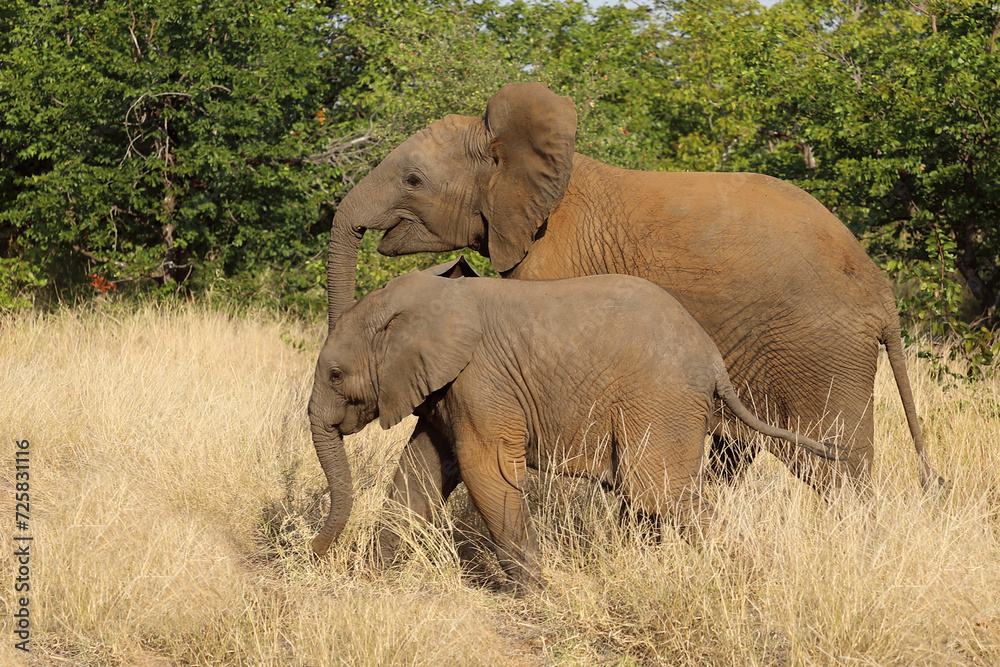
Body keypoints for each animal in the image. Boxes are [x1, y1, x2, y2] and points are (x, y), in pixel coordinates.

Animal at [308, 260, 839, 590]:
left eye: (335, 374)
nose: (316, 554)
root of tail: (714, 360)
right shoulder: (448, 389)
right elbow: (420, 473)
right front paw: (373, 574)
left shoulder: (480, 378)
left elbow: (486, 470)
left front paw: (532, 594)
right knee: (651, 500)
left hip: (660, 401)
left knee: (661, 495)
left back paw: (753, 580)